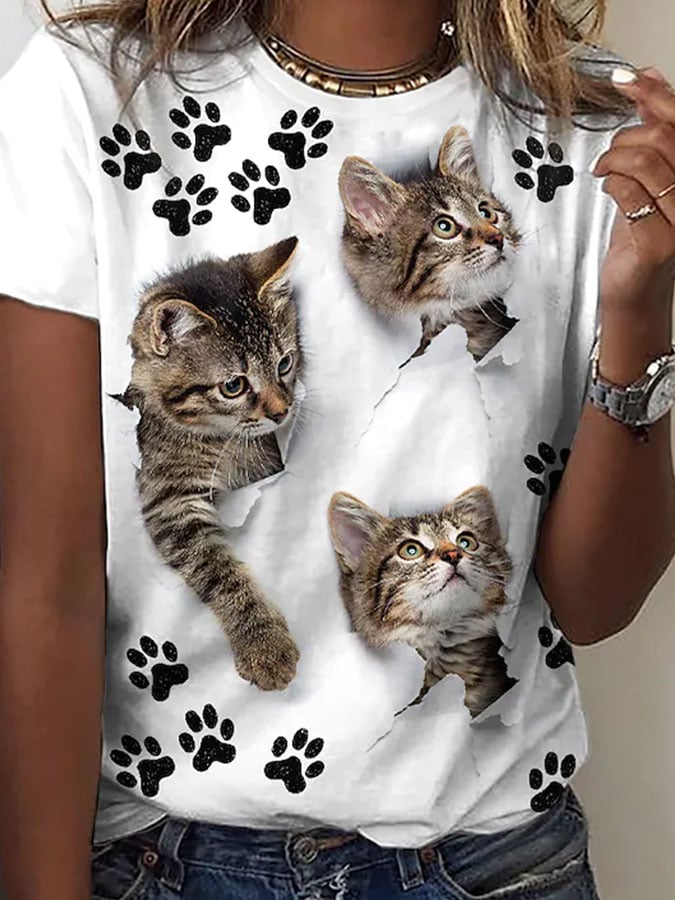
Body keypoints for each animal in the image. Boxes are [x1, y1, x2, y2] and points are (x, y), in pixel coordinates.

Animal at [114, 237, 302, 691]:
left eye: (284, 363)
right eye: (233, 386)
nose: (282, 411)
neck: (220, 439)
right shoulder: (167, 500)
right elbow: (217, 568)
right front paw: (263, 643)